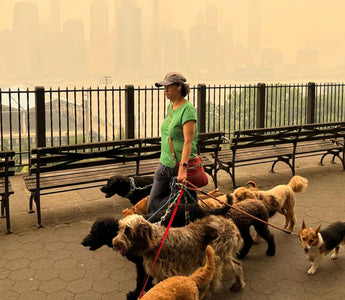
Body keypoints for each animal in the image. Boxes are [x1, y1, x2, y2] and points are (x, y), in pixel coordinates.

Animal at [113, 214, 245, 298]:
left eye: (128, 230)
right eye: (119, 228)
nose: (114, 243)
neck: (155, 242)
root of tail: (229, 222)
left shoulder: (167, 272)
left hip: (215, 255)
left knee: (214, 277)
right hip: (223, 255)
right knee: (237, 264)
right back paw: (238, 284)